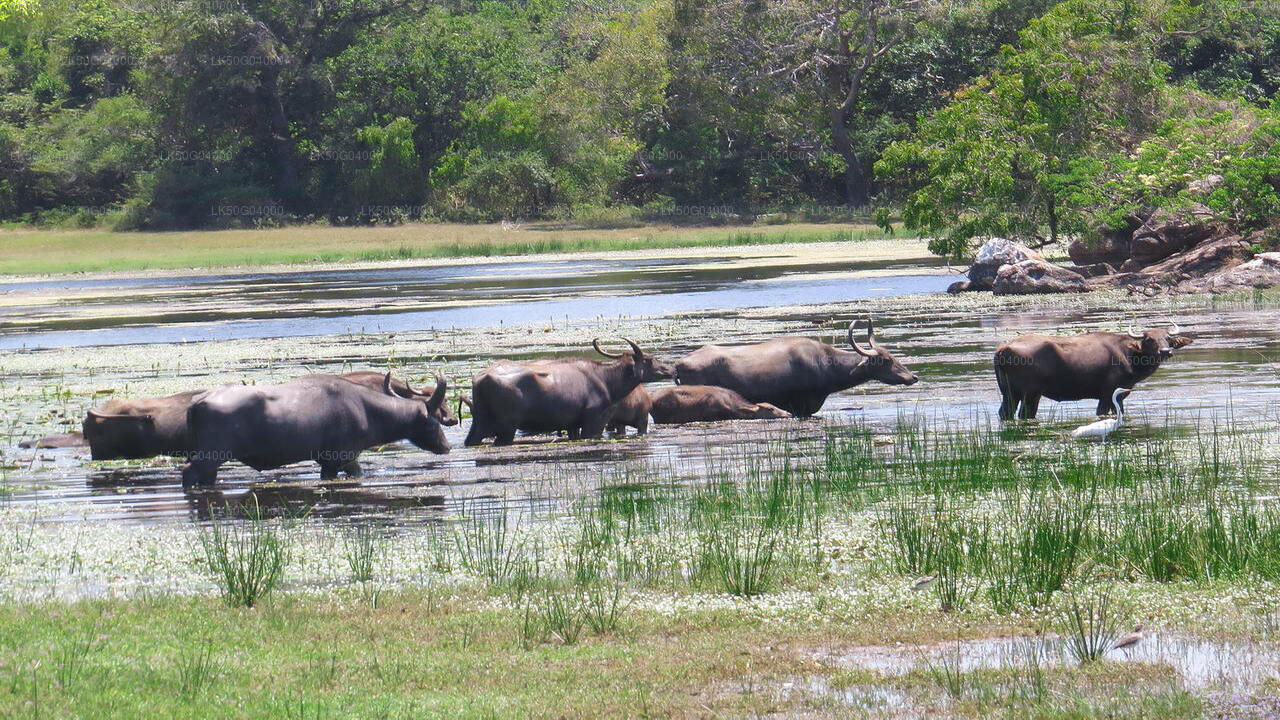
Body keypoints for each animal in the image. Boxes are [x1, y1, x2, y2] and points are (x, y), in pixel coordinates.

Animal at [183, 371, 448, 484]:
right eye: (434, 420)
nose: (446, 446)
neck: (365, 408)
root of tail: (199, 401)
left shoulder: (336, 462)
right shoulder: (339, 459)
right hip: (211, 456)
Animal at [465, 335, 675, 443]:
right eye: (649, 359)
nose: (671, 369)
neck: (608, 382)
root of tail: (480, 378)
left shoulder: (573, 425)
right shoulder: (593, 422)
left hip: (480, 424)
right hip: (506, 428)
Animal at [675, 317, 916, 417]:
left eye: (894, 356)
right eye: (886, 361)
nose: (912, 377)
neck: (826, 365)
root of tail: (679, 364)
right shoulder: (801, 406)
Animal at [993, 322, 1192, 417]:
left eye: (1167, 338)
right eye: (1149, 339)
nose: (1165, 351)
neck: (1127, 354)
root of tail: (1004, 348)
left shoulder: (1118, 396)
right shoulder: (1106, 393)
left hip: (1010, 393)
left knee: (1006, 413)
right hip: (1030, 393)